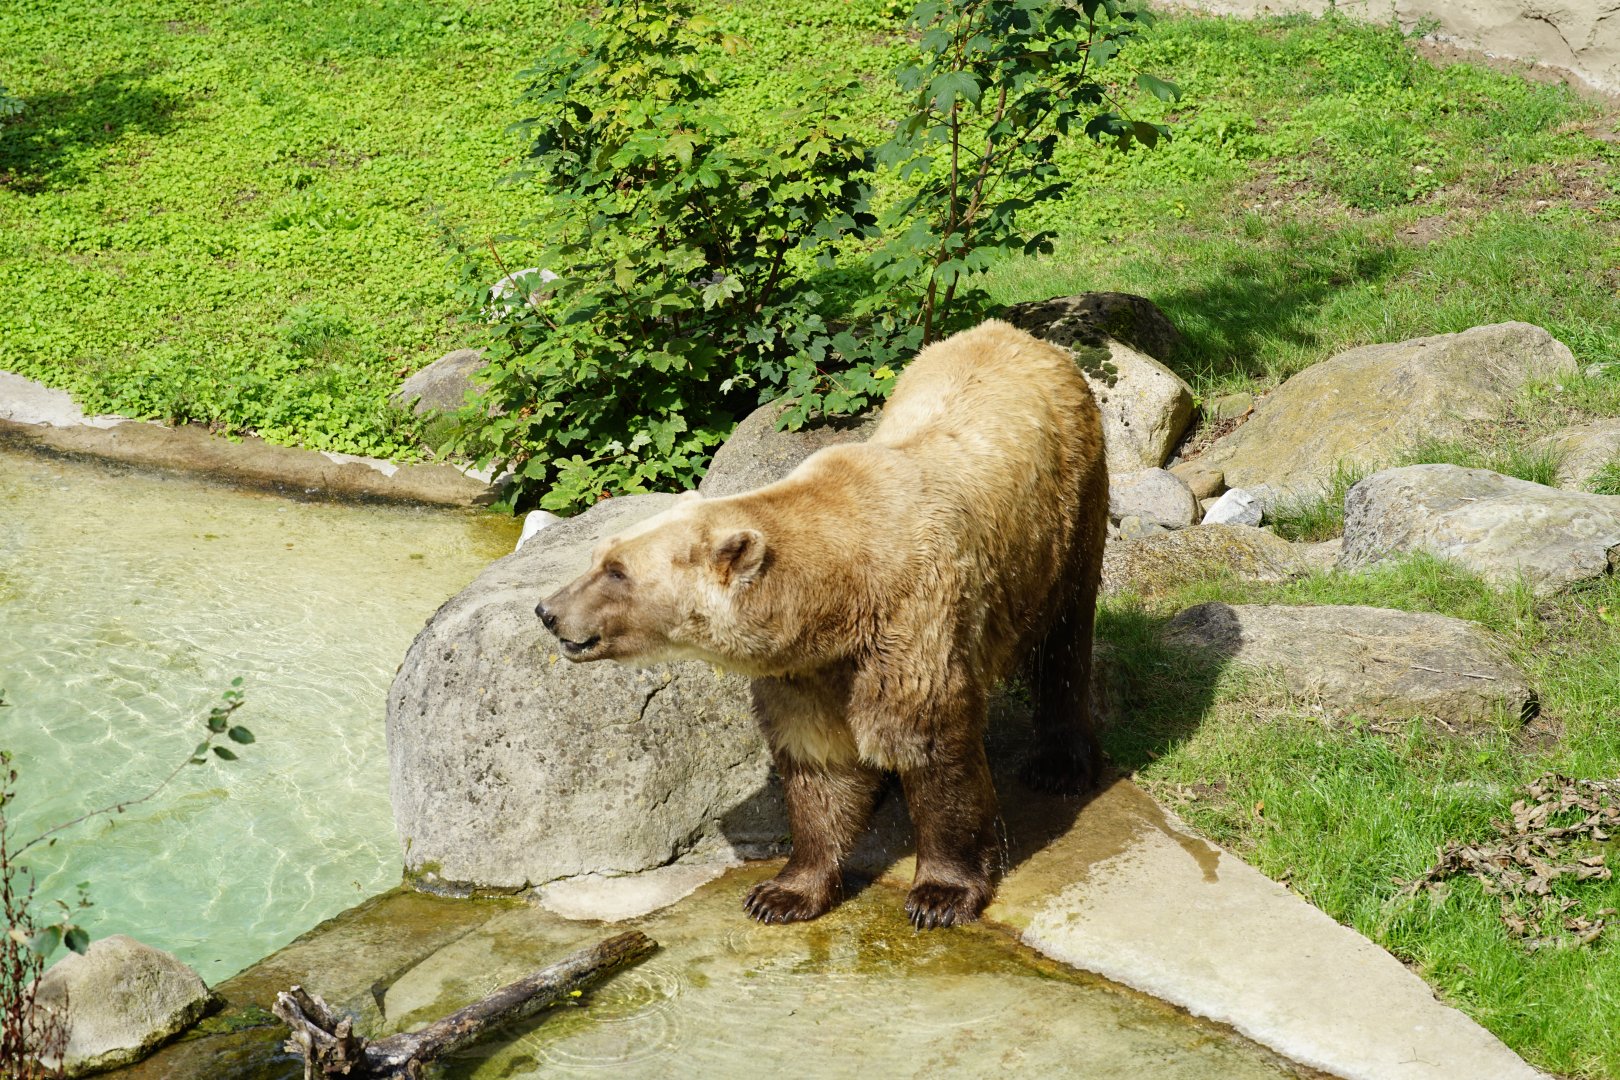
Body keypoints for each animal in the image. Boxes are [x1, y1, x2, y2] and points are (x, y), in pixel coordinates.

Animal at [536, 319, 1109, 929]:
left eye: (617, 571)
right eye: (598, 555)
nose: (548, 611)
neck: (842, 594)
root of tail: (1018, 333)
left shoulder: (911, 626)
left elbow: (931, 744)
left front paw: (940, 894)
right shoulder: (807, 669)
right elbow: (818, 763)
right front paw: (781, 893)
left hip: (1067, 516)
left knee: (1065, 638)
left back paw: (1060, 764)